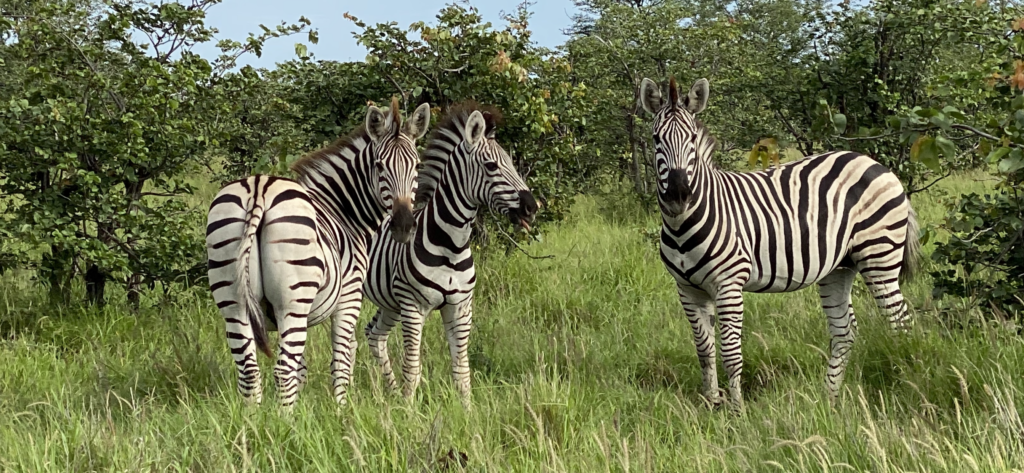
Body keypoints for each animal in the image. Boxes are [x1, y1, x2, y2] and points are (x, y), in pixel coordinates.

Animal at [205, 98, 430, 407]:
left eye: (417, 165)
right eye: (379, 165)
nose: (404, 226)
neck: (343, 212)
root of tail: (258, 189)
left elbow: (303, 370)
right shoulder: (349, 298)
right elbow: (341, 362)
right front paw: (341, 411)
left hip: (233, 298)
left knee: (250, 371)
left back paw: (256, 419)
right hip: (294, 298)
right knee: (282, 369)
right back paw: (284, 420)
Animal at [360, 102, 536, 403]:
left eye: (512, 164)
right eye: (491, 166)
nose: (532, 207)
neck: (451, 247)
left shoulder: (460, 308)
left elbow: (461, 371)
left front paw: (467, 411)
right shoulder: (413, 306)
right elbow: (413, 369)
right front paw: (408, 411)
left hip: (389, 301)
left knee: (375, 335)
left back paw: (390, 394)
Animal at [638, 76, 921, 407]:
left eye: (692, 139)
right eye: (656, 139)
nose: (679, 194)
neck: (682, 225)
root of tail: (875, 163)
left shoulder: (729, 284)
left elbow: (731, 354)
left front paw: (736, 411)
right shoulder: (687, 289)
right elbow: (705, 353)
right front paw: (712, 405)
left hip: (879, 254)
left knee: (900, 321)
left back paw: (906, 382)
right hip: (840, 266)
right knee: (845, 331)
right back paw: (828, 400)